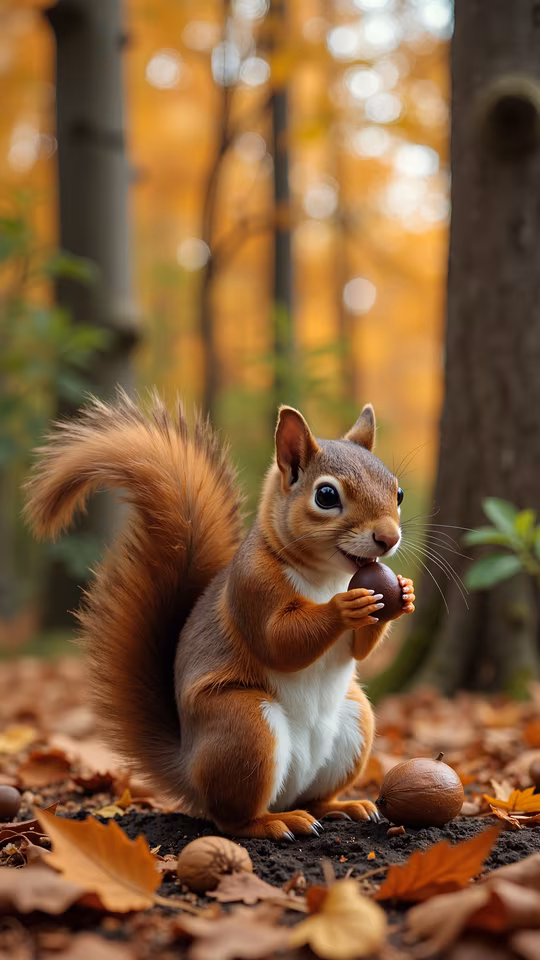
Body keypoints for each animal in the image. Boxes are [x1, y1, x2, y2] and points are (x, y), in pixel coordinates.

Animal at [24, 391, 415, 840]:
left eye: (398, 493)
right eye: (327, 496)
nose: (389, 538)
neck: (327, 576)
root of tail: (189, 769)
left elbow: (358, 651)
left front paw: (404, 593)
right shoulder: (251, 586)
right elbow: (279, 641)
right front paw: (344, 607)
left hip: (355, 722)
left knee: (313, 797)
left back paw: (342, 806)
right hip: (244, 728)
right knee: (231, 819)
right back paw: (275, 823)